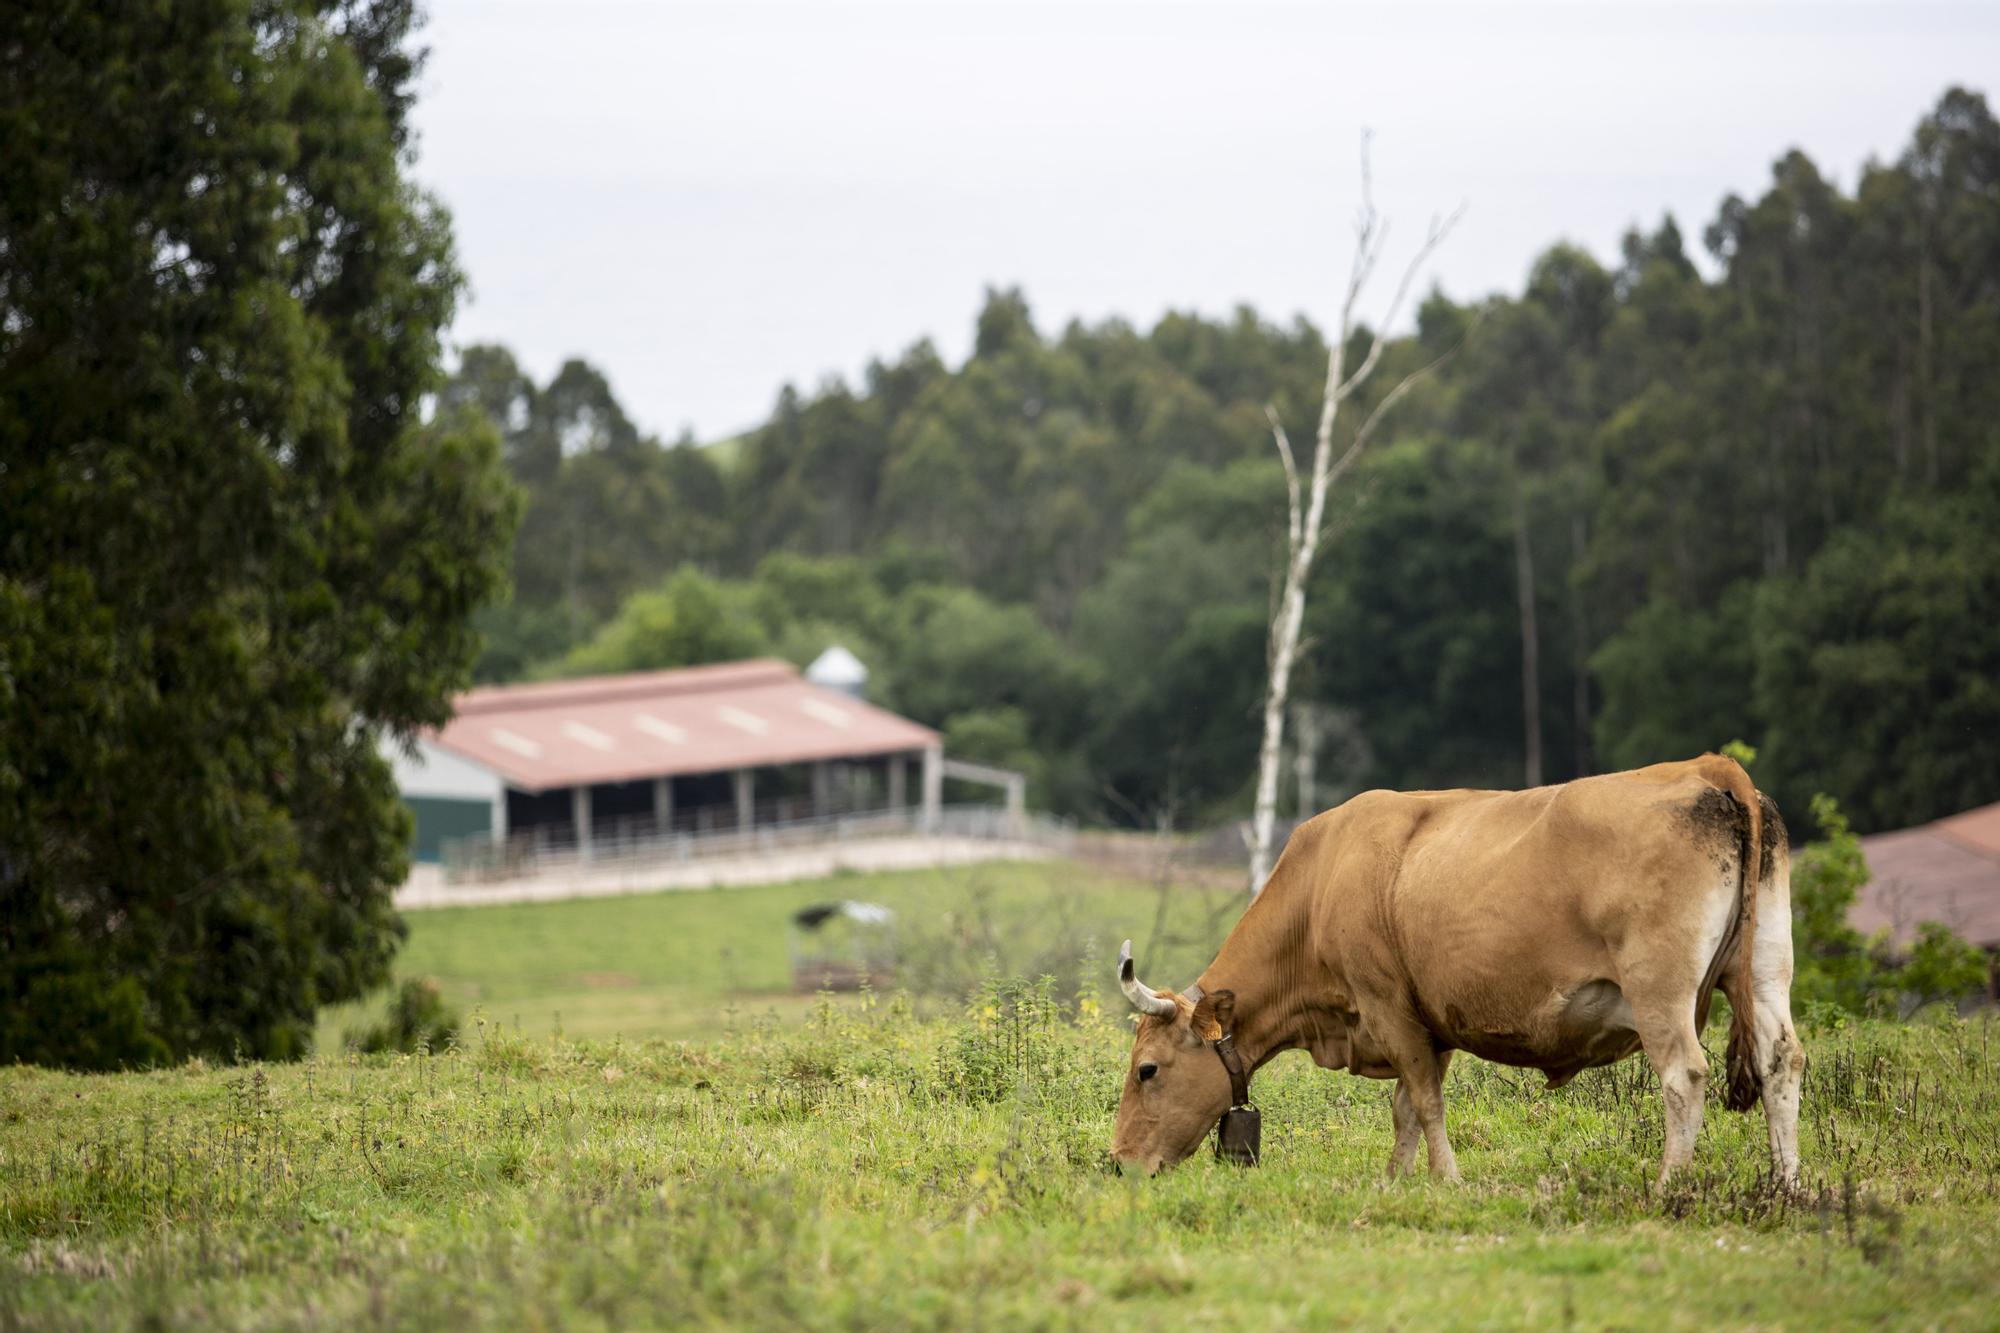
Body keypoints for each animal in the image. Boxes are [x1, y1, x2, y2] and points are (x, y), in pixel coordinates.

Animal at [1120, 752, 1808, 1176]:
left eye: (1147, 1070)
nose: (1120, 1161)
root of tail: (1704, 768)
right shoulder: (1431, 1017)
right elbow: (1405, 1107)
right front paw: (1394, 1182)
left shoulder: (1388, 1007)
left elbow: (1424, 1103)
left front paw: (1444, 1180)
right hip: (1765, 971)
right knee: (1782, 1060)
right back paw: (1788, 1188)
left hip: (1659, 989)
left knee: (1683, 1076)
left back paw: (1670, 1187)